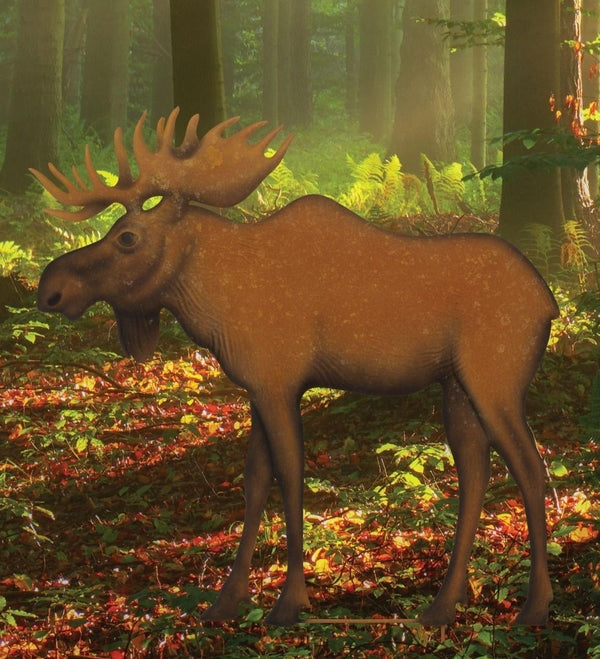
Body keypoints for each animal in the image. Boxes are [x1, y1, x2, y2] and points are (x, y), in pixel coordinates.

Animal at [32, 107, 558, 628]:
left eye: (127, 237)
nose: (50, 288)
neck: (216, 300)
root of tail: (547, 301)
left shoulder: (278, 382)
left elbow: (289, 476)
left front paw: (289, 602)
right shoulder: (258, 388)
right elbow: (254, 481)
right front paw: (227, 599)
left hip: (495, 380)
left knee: (532, 468)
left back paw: (535, 606)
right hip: (456, 388)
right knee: (476, 474)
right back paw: (444, 604)